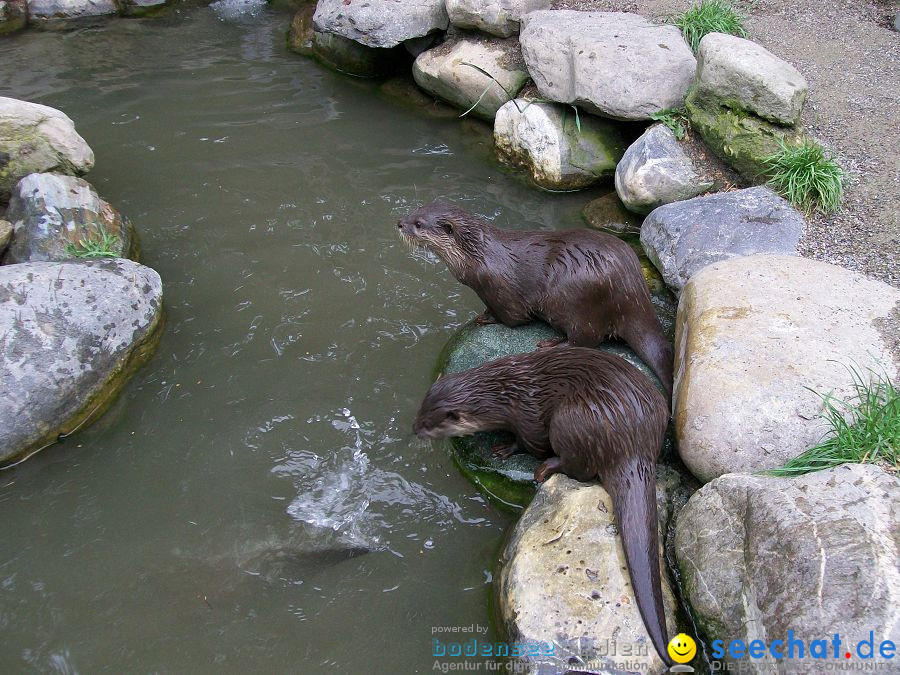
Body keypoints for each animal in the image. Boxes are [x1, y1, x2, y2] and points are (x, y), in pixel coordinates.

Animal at [398, 203, 672, 398]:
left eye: (419, 224)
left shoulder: (500, 290)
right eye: (415, 211)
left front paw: (489, 319)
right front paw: (481, 315)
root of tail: (632, 291)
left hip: (576, 301)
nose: (399, 223)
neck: (477, 257)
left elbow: (513, 318)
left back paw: (551, 345)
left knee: (587, 339)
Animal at [416, 348, 676, 672]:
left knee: (576, 465)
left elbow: (530, 441)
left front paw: (505, 449)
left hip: (572, 419)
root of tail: (633, 446)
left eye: (430, 423)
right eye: (420, 412)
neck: (502, 395)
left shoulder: (527, 415)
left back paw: (544, 469)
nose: (414, 429)